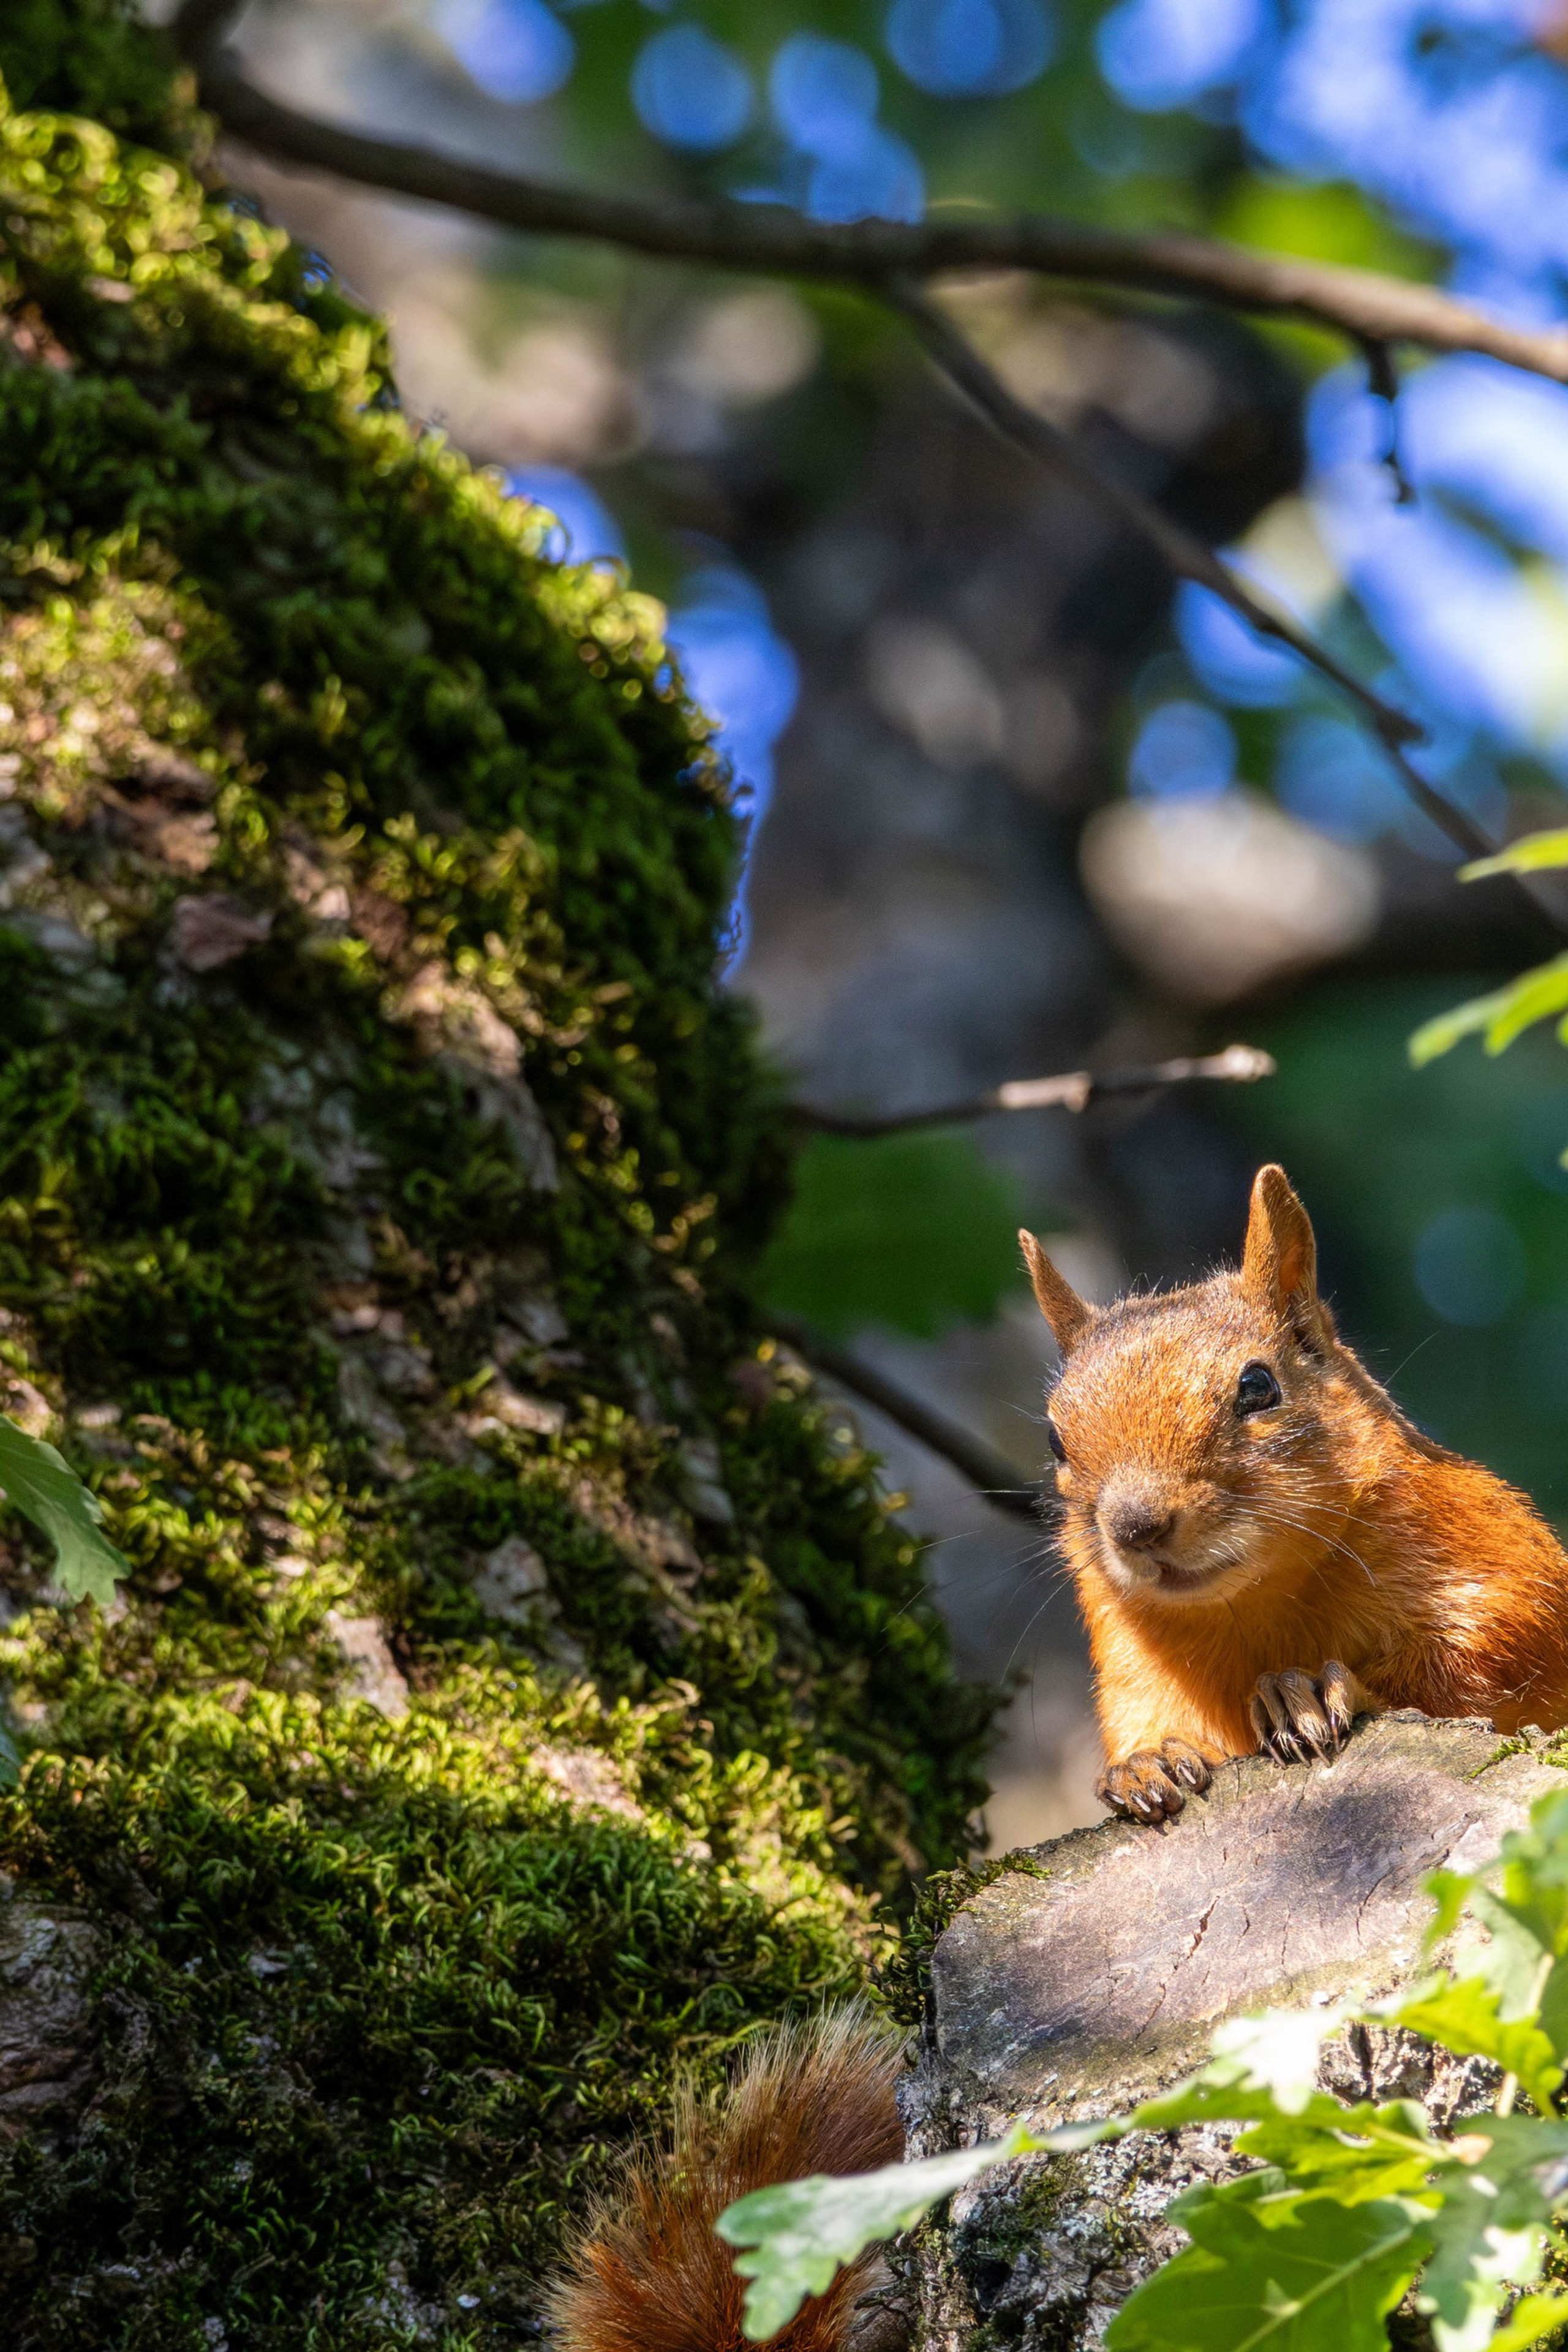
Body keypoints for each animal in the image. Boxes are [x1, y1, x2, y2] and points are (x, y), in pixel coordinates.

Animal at [1020, 1162, 1568, 1825]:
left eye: (1259, 1386)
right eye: (1055, 1439)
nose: (1136, 1527)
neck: (1260, 1599)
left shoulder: (1502, 1571)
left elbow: (1481, 1667)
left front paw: (1310, 1690)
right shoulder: (1128, 1646)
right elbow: (1148, 1712)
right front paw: (1145, 1761)